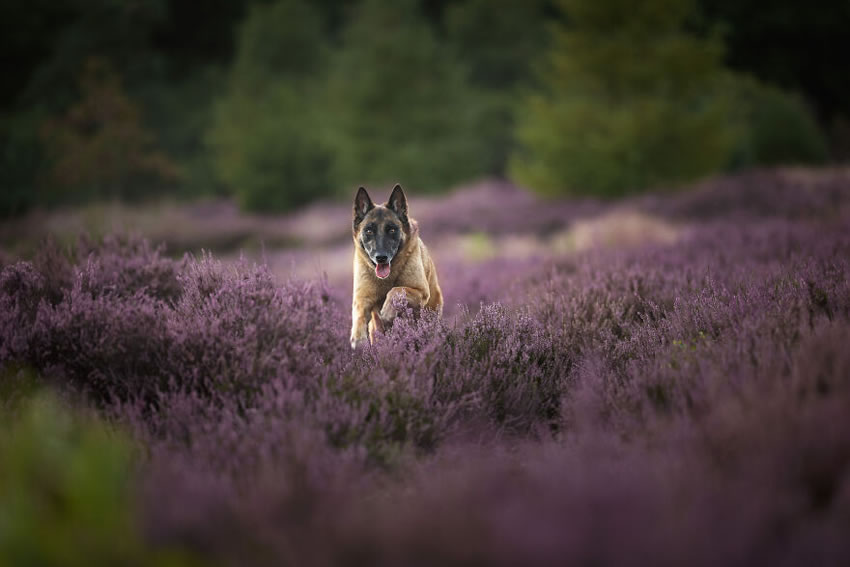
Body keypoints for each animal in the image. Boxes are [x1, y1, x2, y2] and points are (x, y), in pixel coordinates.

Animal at [352, 184, 444, 348]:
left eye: (392, 230)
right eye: (369, 231)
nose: (381, 257)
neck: (386, 279)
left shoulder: (420, 291)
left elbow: (396, 290)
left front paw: (388, 311)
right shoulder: (363, 298)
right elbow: (360, 313)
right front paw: (357, 337)